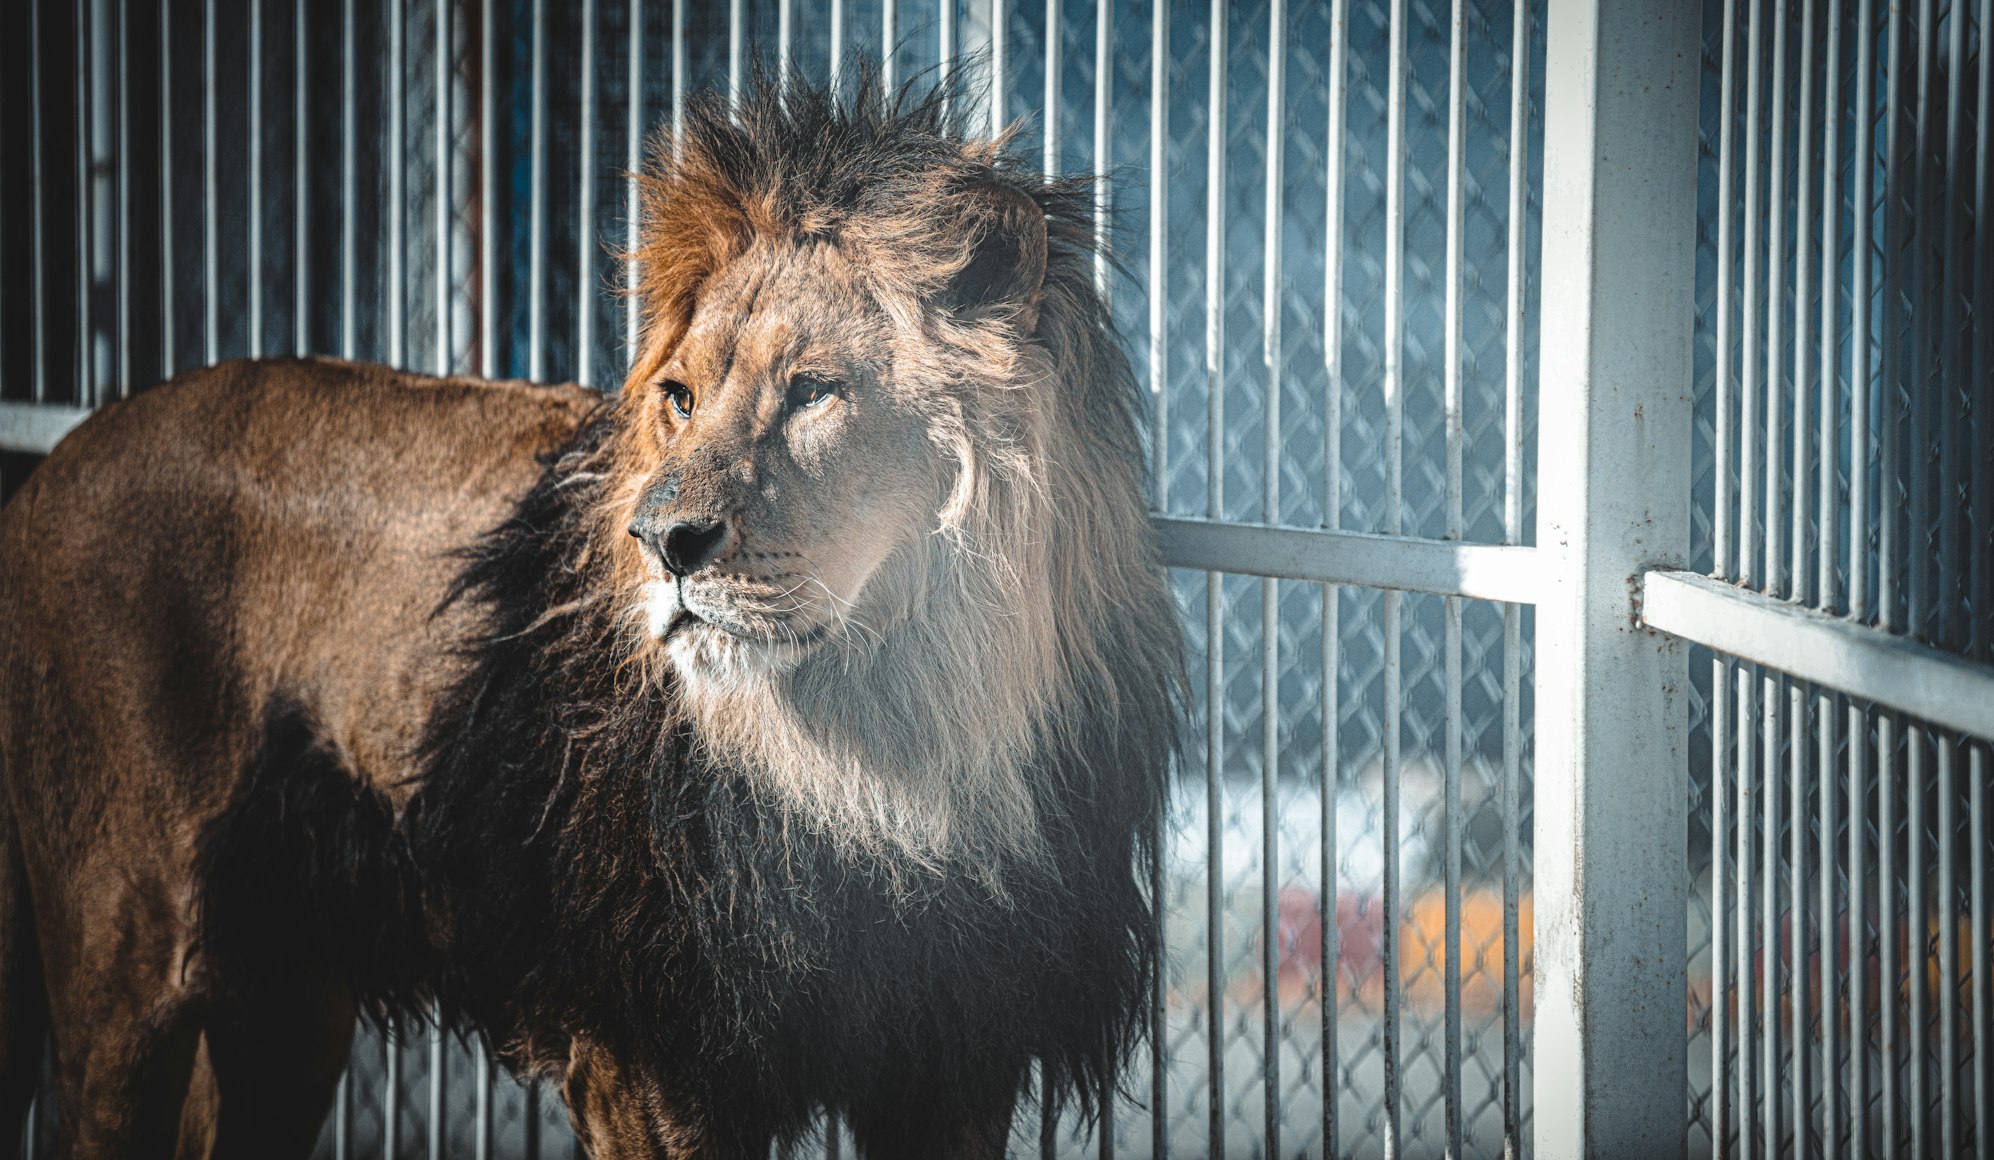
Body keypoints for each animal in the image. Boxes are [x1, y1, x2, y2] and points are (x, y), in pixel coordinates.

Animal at [0, 75, 1180, 1159]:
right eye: (678, 398)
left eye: (813, 391)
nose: (661, 541)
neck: (899, 735)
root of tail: (54, 464)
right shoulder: (651, 1054)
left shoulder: (953, 1058)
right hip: (124, 956)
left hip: (284, 999)